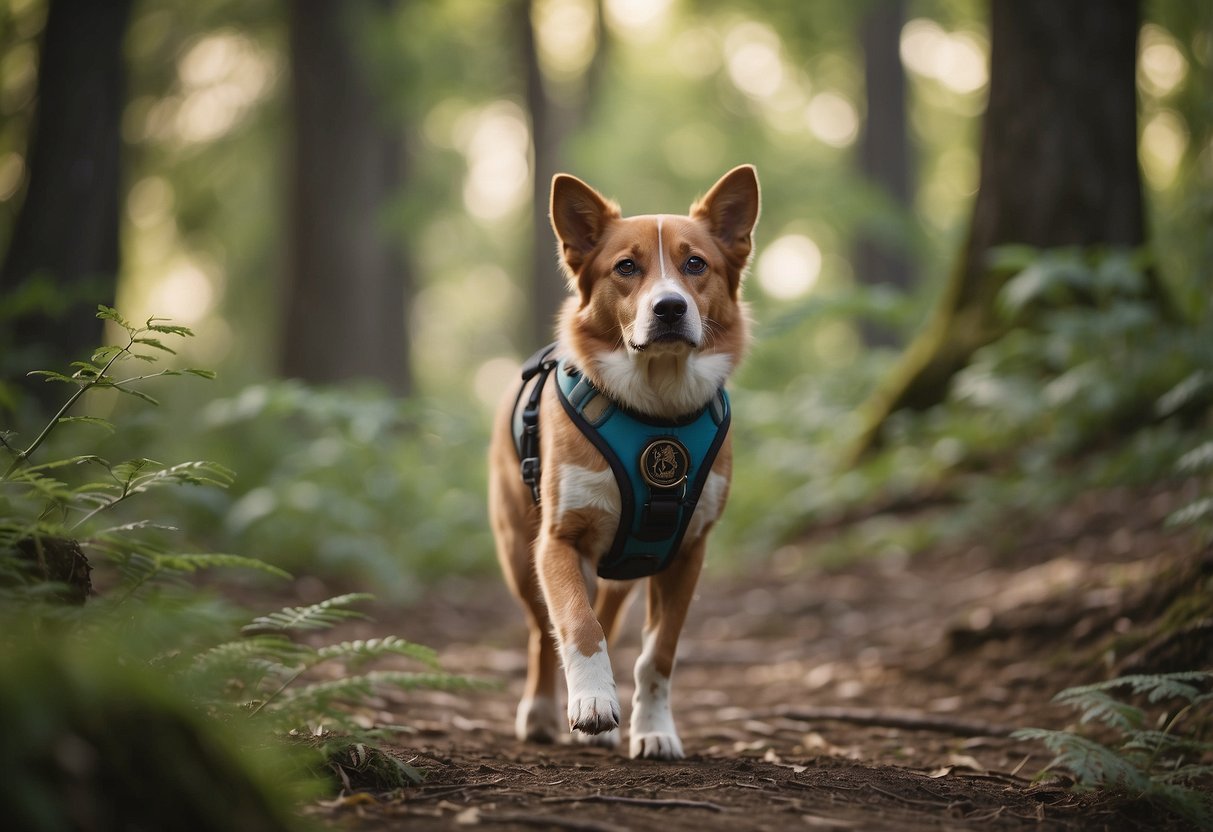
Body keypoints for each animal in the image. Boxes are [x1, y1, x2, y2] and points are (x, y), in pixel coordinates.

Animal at [485, 164, 756, 761]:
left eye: (695, 264)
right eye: (626, 267)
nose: (670, 308)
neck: (656, 410)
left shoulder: (686, 553)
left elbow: (659, 653)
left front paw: (652, 730)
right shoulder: (557, 542)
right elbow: (578, 626)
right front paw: (591, 703)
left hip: (624, 569)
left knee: (604, 615)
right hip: (518, 554)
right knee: (542, 631)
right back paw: (540, 711)